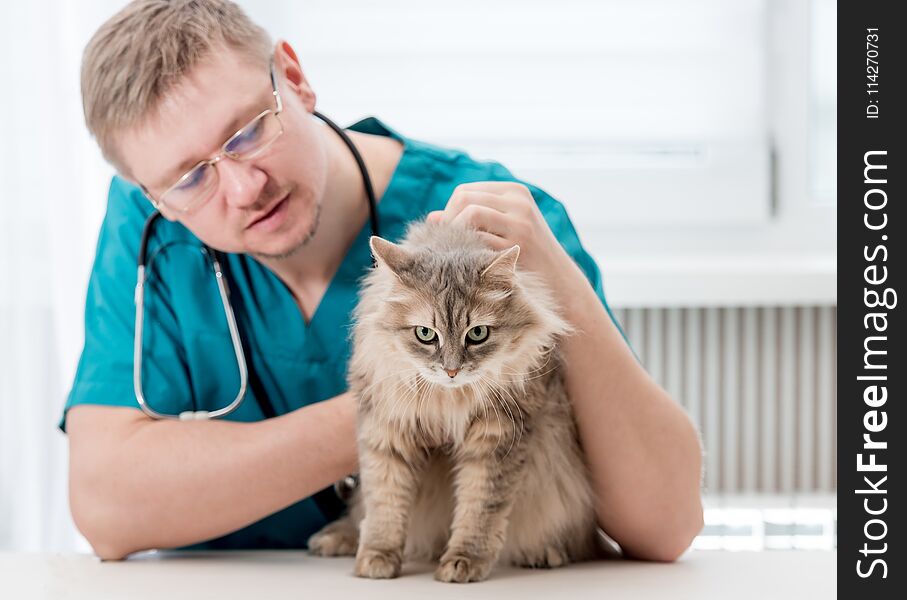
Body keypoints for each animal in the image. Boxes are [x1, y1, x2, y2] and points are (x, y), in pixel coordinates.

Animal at [308, 220, 608, 580]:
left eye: (477, 334)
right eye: (425, 334)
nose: (451, 370)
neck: (449, 397)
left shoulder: (497, 439)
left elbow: (479, 508)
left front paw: (463, 562)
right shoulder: (387, 432)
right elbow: (385, 503)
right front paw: (377, 558)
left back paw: (544, 553)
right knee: (358, 514)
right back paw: (335, 539)